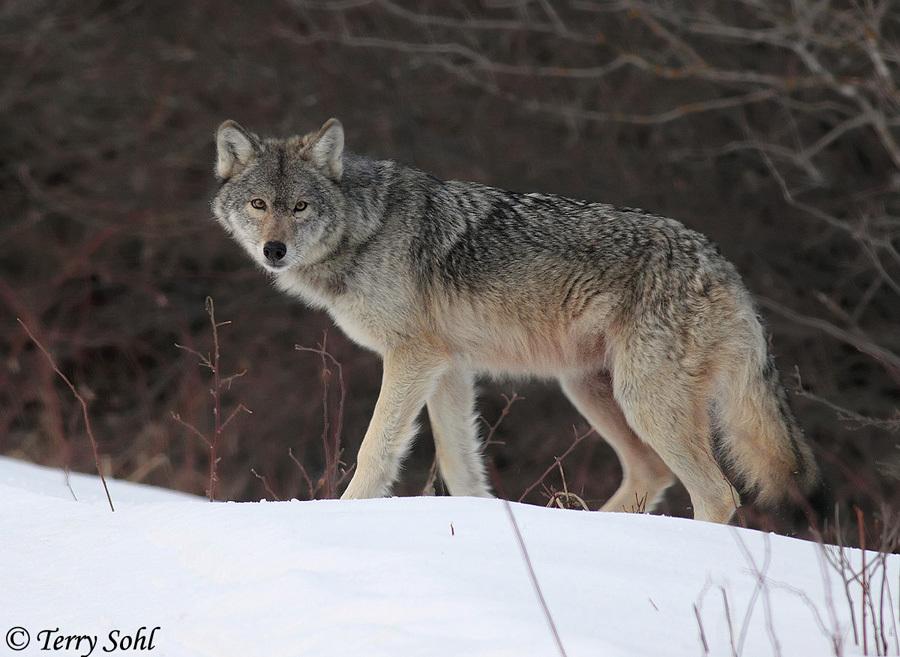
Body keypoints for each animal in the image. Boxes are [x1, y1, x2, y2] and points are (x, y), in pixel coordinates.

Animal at [210, 117, 819, 523]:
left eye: (300, 207)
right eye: (260, 205)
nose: (274, 251)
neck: (368, 227)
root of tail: (723, 266)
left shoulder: (413, 358)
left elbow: (374, 448)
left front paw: (346, 515)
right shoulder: (448, 369)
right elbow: (460, 466)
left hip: (642, 399)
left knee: (717, 493)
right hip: (591, 391)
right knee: (653, 473)